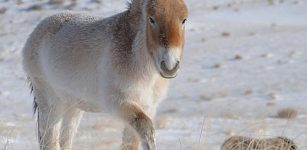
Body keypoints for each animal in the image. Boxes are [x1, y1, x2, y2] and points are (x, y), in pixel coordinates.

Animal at [22, 0, 188, 150]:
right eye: (151, 19)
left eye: (184, 19)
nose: (170, 66)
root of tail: (36, 32)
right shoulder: (120, 103)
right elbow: (146, 128)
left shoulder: (148, 106)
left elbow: (131, 143)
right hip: (50, 103)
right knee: (50, 142)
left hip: (73, 106)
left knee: (65, 140)